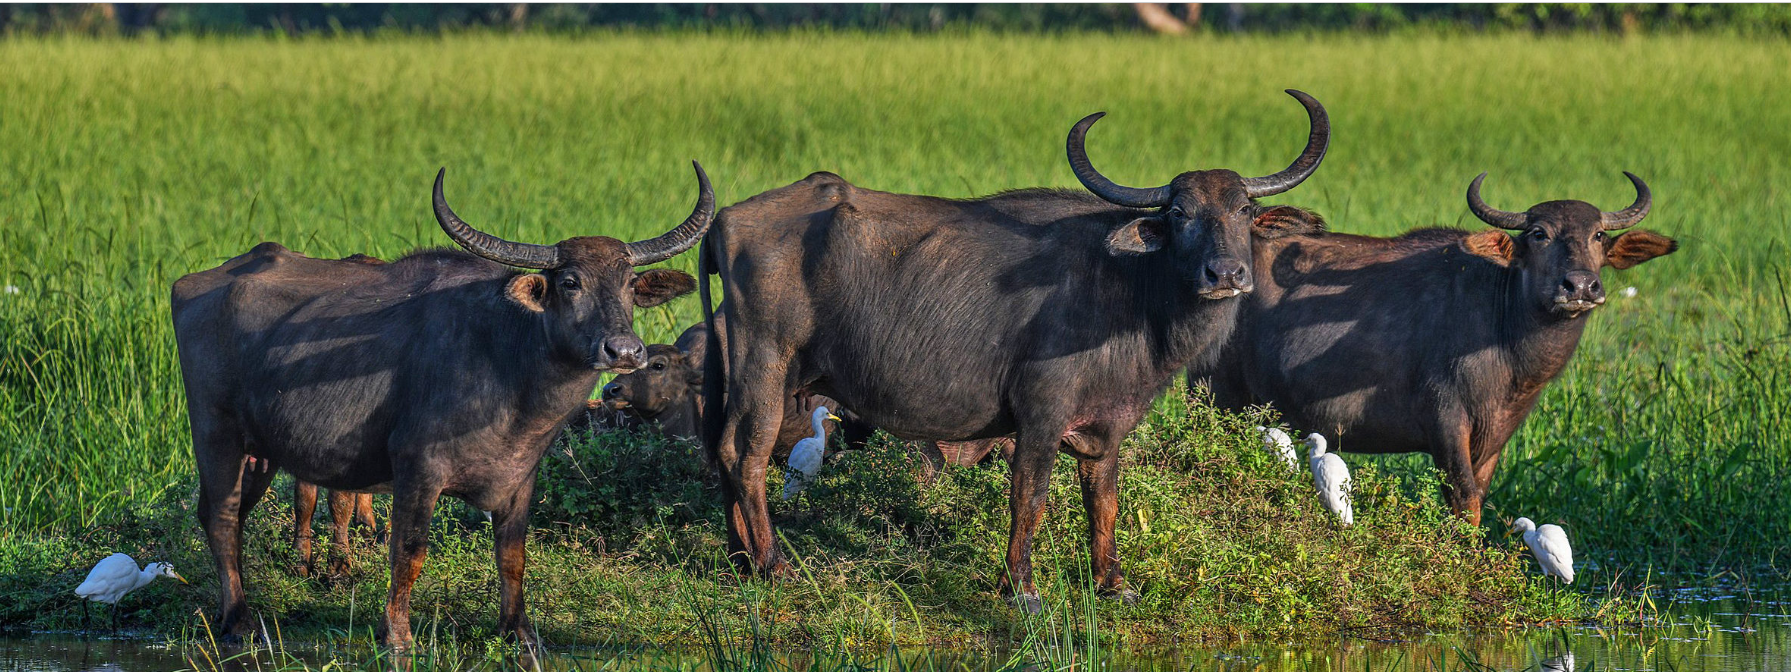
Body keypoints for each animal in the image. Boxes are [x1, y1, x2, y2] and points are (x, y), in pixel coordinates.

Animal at [171, 164, 716, 652]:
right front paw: (397, 635)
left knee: (233, 516)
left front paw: (520, 632)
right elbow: (409, 552)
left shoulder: (521, 479)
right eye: (570, 282)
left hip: (260, 450)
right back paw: (240, 622)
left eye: (629, 283)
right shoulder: (417, 470)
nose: (622, 350)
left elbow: (512, 556)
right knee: (221, 517)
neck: (509, 364)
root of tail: (194, 283)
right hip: (216, 435)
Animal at [698, 89, 1332, 609]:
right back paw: (774, 565)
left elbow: (1104, 501)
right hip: (767, 369)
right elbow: (1030, 497)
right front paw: (1022, 588)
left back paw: (739, 559)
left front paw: (1113, 584)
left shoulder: (1106, 427)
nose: (1225, 273)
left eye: (1244, 210)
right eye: (1179, 213)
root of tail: (726, 219)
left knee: (724, 449)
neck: (1131, 289)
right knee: (747, 455)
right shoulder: (1039, 417)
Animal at [1189, 171, 1676, 523]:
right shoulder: (1445, 422)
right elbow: (1463, 499)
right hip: (1214, 396)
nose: (1579, 286)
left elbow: (1479, 495)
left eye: (1597, 235)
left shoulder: (1497, 436)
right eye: (1539, 233)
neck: (1503, 332)